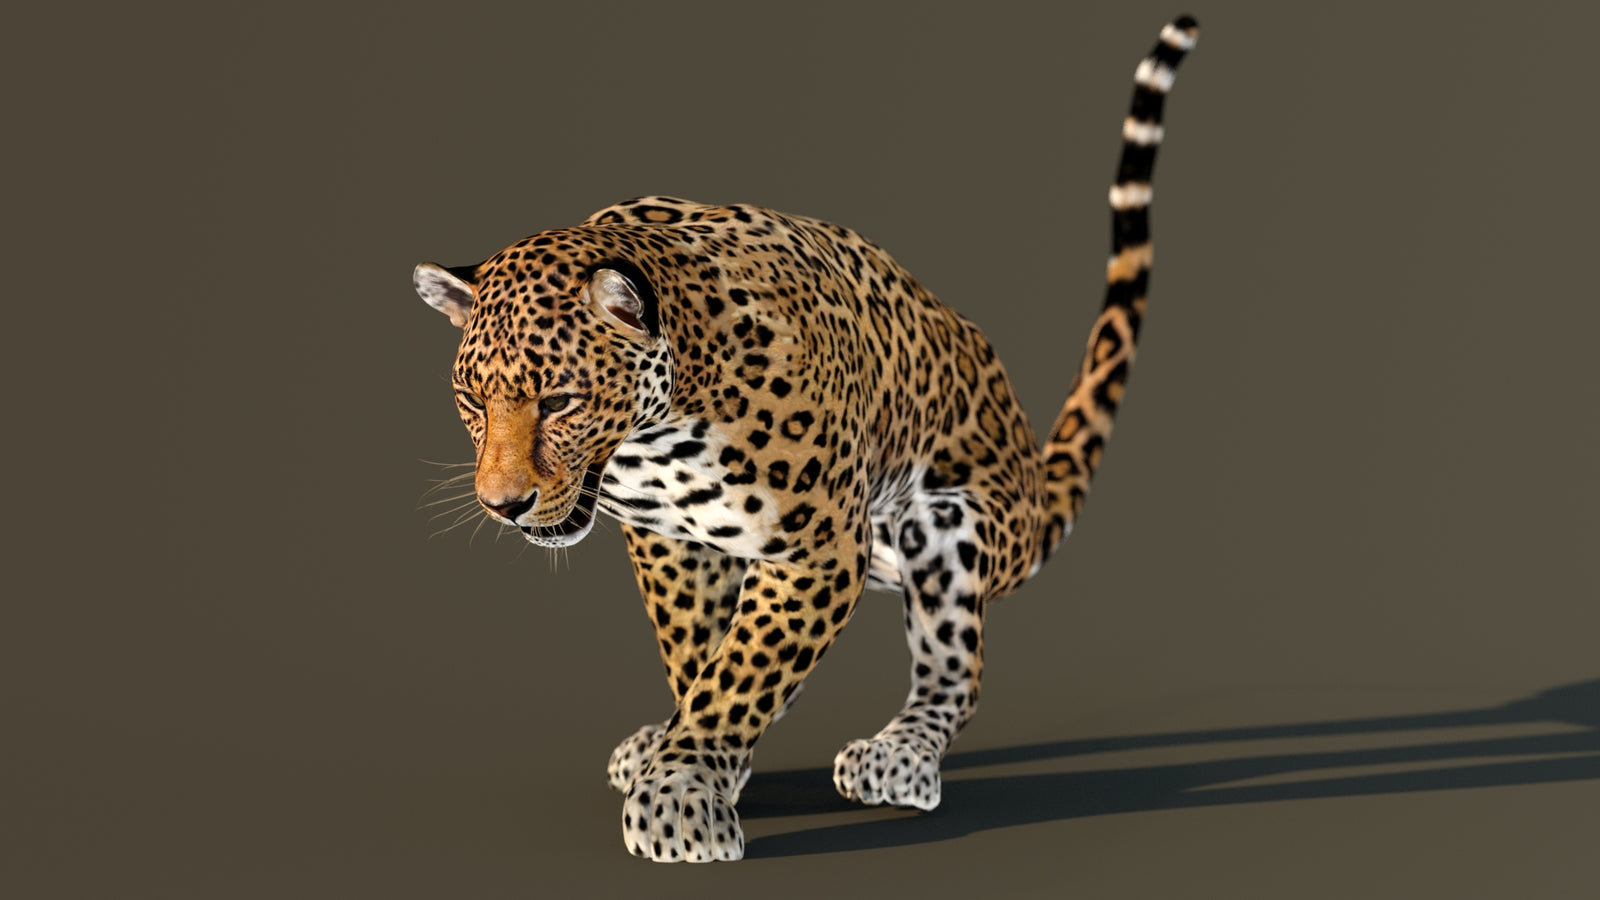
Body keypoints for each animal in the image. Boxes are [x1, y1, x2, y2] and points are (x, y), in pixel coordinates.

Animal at [413, 16, 1198, 862]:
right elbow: (699, 654)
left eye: (560, 400)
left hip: (945, 523)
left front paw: (681, 793)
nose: (503, 505)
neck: (657, 432)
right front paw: (694, 756)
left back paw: (899, 756)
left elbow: (744, 670)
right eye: (471, 402)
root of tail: (1028, 469)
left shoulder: (817, 547)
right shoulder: (671, 542)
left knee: (957, 667)